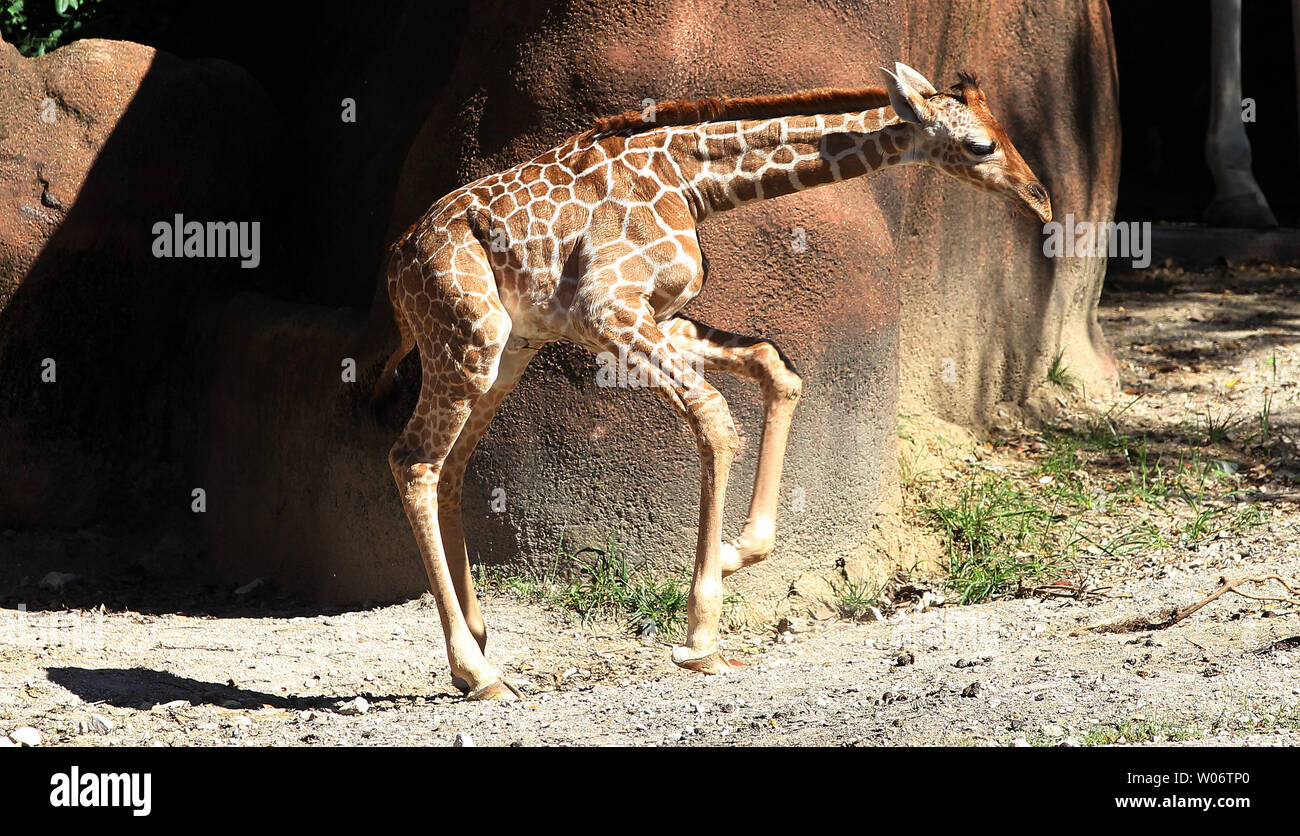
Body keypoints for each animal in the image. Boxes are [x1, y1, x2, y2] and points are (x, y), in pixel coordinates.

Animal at [375, 62, 1051, 700]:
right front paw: (701, 638)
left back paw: (479, 640)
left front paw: (732, 555)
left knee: (452, 464)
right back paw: (477, 671)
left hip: (509, 350)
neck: (691, 181)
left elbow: (776, 366)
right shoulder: (607, 310)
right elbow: (715, 415)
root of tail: (396, 266)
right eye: (982, 145)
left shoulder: (661, 315)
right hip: (469, 340)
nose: (1042, 199)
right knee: (414, 460)